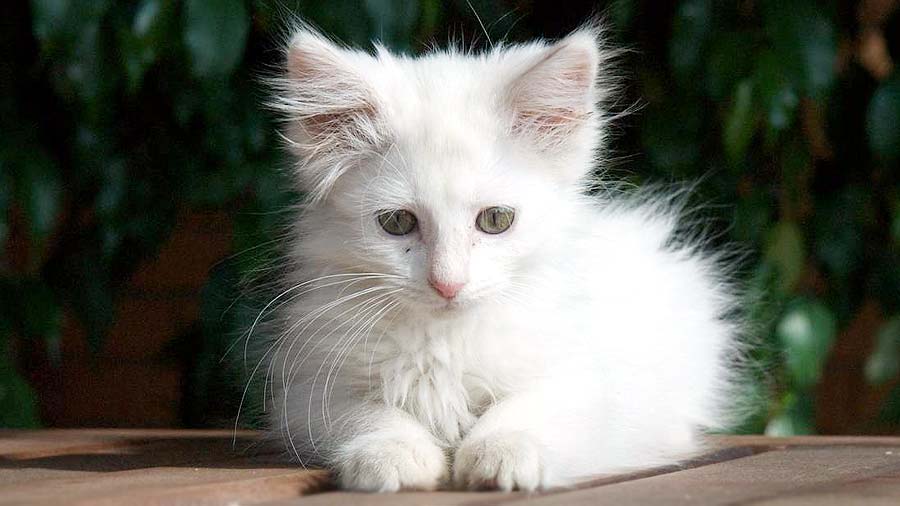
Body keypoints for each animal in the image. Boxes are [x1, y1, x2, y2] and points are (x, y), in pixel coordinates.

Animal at [264, 22, 748, 490]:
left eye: (496, 220)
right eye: (398, 223)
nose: (448, 283)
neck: (446, 339)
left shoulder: (585, 382)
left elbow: (524, 409)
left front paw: (503, 453)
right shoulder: (310, 391)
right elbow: (368, 414)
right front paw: (391, 455)